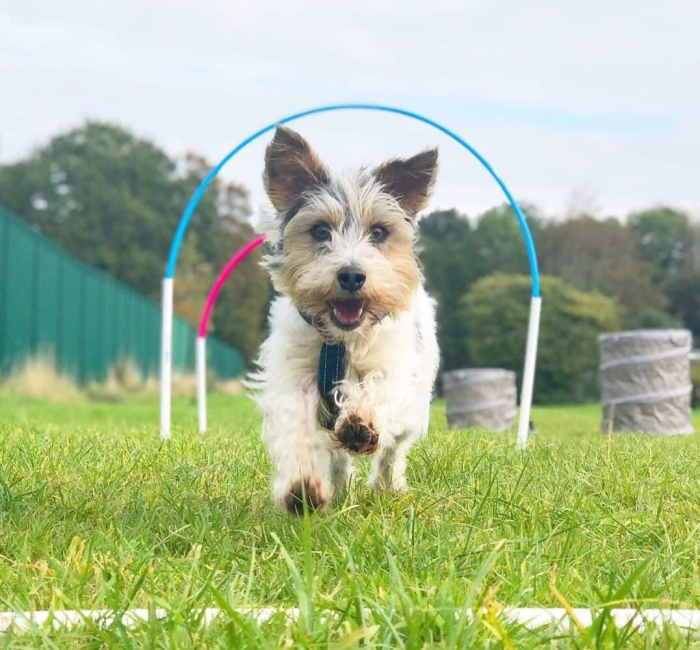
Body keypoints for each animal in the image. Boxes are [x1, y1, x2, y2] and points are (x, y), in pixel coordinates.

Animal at [250, 126, 438, 512]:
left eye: (378, 232)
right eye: (321, 231)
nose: (352, 275)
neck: (340, 342)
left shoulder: (394, 367)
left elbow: (379, 387)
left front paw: (361, 421)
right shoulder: (294, 376)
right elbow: (297, 429)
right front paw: (303, 488)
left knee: (393, 451)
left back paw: (387, 486)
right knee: (336, 457)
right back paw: (338, 488)